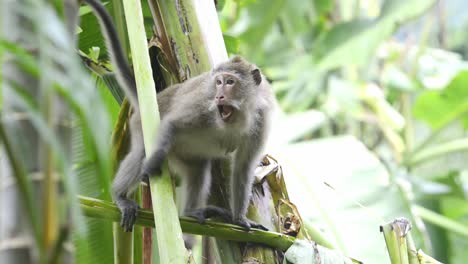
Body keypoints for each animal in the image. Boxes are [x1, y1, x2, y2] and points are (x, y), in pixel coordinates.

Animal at [83, 0, 274, 237]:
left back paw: (191, 212)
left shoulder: (261, 120)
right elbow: (172, 124)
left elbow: (244, 167)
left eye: (230, 82)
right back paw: (121, 196)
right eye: (218, 82)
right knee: (142, 151)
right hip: (140, 126)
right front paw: (150, 166)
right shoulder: (203, 107)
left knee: (198, 168)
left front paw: (240, 219)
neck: (237, 117)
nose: (219, 95)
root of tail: (154, 99)